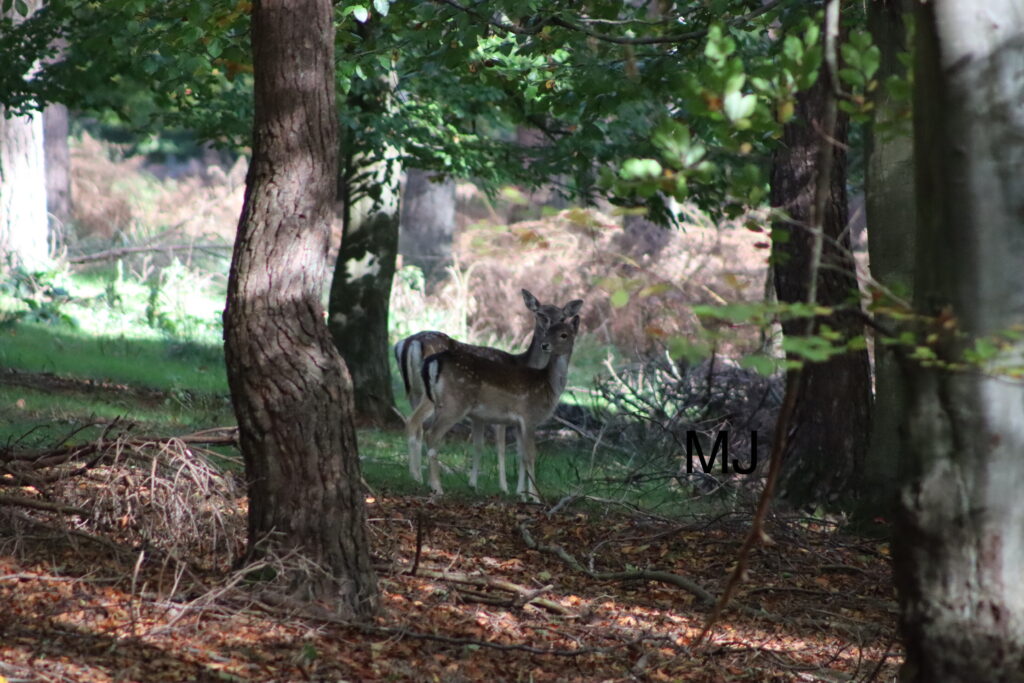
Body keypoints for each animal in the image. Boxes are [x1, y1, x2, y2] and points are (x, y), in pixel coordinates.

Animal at [395, 290, 583, 493]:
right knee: (420, 426)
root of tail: (408, 342)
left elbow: (481, 446)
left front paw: (477, 484)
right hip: (443, 402)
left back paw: (418, 477)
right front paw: (506, 488)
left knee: (417, 426)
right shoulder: (510, 418)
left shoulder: (482, 417)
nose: (545, 343)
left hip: (416, 393)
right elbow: (503, 447)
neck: (525, 363)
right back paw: (427, 482)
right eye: (540, 314)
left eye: (562, 317)